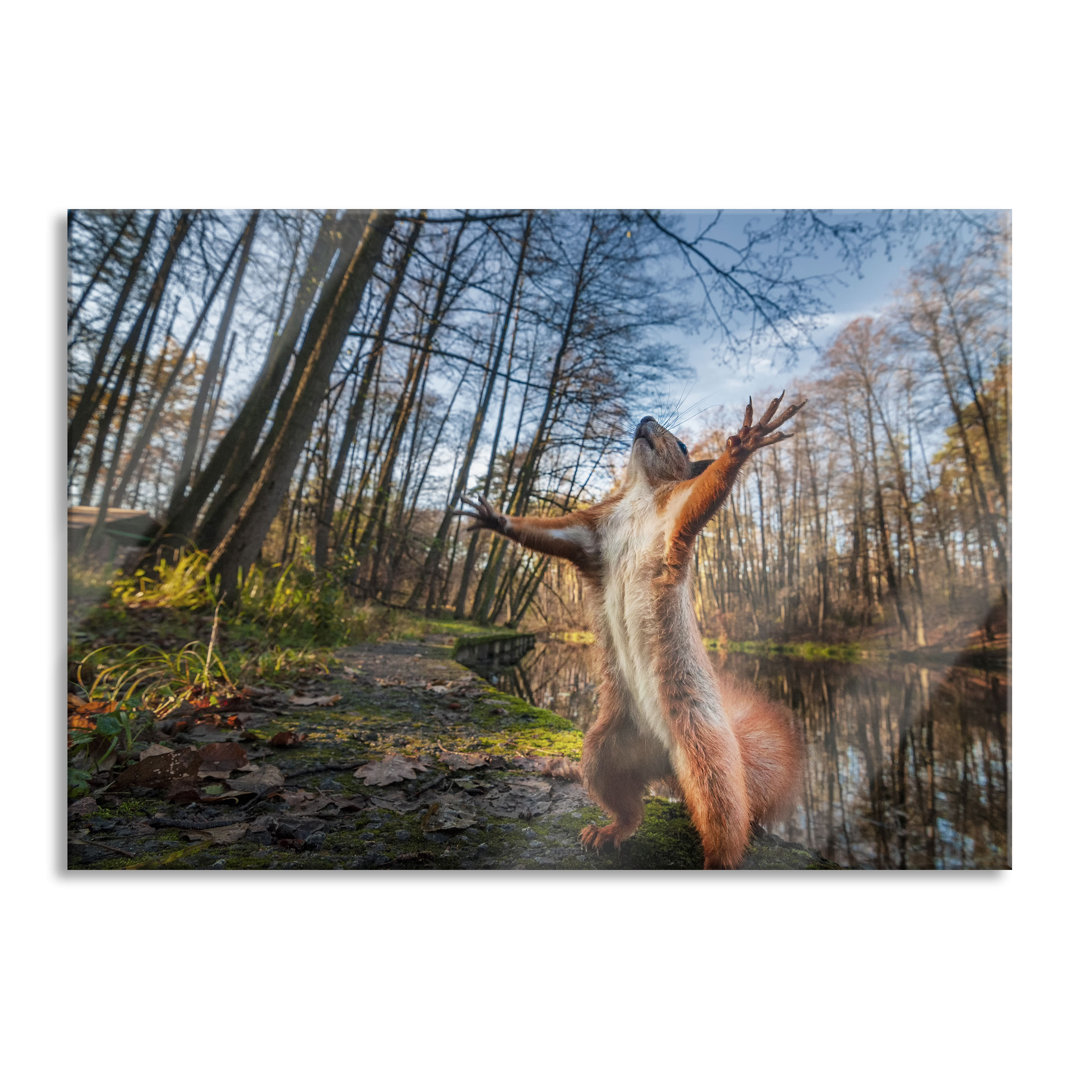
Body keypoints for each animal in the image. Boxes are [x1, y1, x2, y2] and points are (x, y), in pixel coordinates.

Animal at [460, 393, 807, 864]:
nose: (645, 418)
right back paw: (610, 832)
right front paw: (496, 519)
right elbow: (547, 535)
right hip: (605, 750)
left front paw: (744, 443)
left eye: (682, 444)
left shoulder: (676, 517)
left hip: (707, 756)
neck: (640, 494)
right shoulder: (591, 536)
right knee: (629, 806)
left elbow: (707, 493)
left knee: (725, 818)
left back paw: (716, 859)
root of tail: (666, 761)